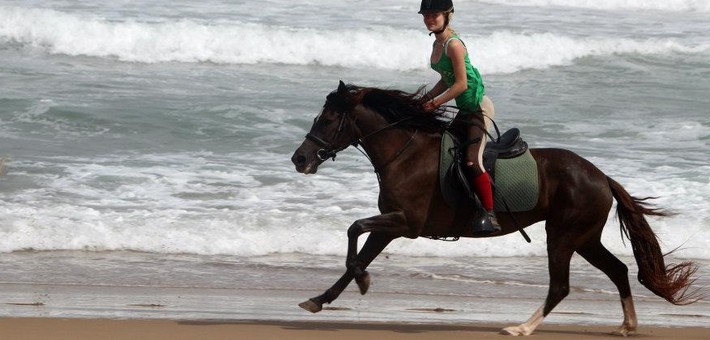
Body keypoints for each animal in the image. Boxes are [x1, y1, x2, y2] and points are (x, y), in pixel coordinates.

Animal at [290, 81, 700, 336]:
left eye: (327, 119)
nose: (299, 159)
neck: (405, 153)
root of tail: (601, 176)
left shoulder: (405, 222)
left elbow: (354, 229)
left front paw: (360, 281)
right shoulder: (391, 226)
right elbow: (358, 252)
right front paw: (321, 298)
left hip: (563, 236)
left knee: (561, 286)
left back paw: (521, 327)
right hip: (584, 238)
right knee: (617, 270)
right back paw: (627, 325)